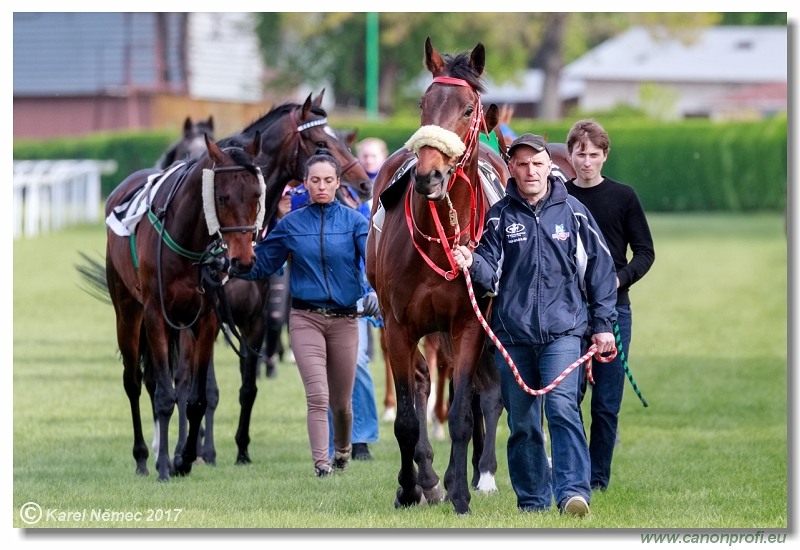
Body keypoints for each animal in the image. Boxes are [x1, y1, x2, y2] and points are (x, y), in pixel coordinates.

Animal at [103, 132, 264, 480]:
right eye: (223, 198)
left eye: (257, 195)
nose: (242, 261)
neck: (187, 237)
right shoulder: (155, 314)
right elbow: (164, 395)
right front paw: (164, 465)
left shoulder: (206, 319)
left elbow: (196, 399)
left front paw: (185, 459)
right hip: (127, 309)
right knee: (133, 382)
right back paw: (142, 458)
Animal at [368, 38, 510, 516]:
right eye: (423, 103)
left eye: (467, 109)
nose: (428, 175)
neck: (440, 238)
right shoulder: (398, 326)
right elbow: (408, 418)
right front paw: (411, 487)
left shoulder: (468, 325)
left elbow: (465, 411)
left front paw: (460, 490)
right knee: (422, 383)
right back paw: (427, 477)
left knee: (483, 393)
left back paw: (473, 475)